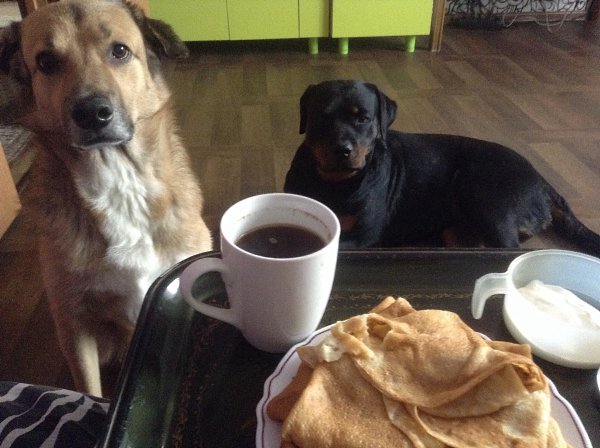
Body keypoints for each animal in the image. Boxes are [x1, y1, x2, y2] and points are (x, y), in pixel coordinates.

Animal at [0, 0, 212, 397]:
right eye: (46, 61)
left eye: (120, 51)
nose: (92, 113)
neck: (120, 180)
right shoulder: (74, 324)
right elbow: (88, 388)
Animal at [285, 80, 600, 256]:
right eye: (321, 117)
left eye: (363, 118)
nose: (342, 149)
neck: (334, 183)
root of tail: (542, 182)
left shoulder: (363, 236)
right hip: (460, 225)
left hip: (481, 191)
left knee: (505, 247)